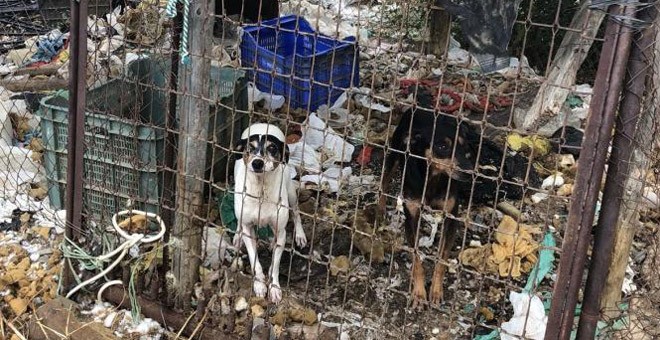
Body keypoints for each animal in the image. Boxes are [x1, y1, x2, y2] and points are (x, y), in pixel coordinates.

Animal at [378, 87, 540, 308]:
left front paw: (436, 291)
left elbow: (441, 258)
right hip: (394, 154)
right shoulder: (411, 216)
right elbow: (417, 258)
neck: (433, 177)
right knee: (384, 180)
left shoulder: (451, 217)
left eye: (466, 148)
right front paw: (419, 293)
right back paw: (379, 210)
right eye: (442, 147)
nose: (470, 173)